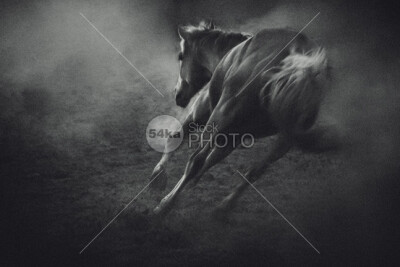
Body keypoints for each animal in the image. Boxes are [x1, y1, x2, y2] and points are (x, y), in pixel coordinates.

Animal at [150, 21, 328, 218]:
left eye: (181, 56)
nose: (178, 95)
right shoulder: (234, 135)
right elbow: (213, 159)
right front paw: (193, 183)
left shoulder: (200, 115)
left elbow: (176, 139)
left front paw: (157, 178)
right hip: (285, 139)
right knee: (255, 171)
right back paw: (223, 208)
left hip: (218, 118)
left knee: (196, 160)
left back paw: (165, 205)